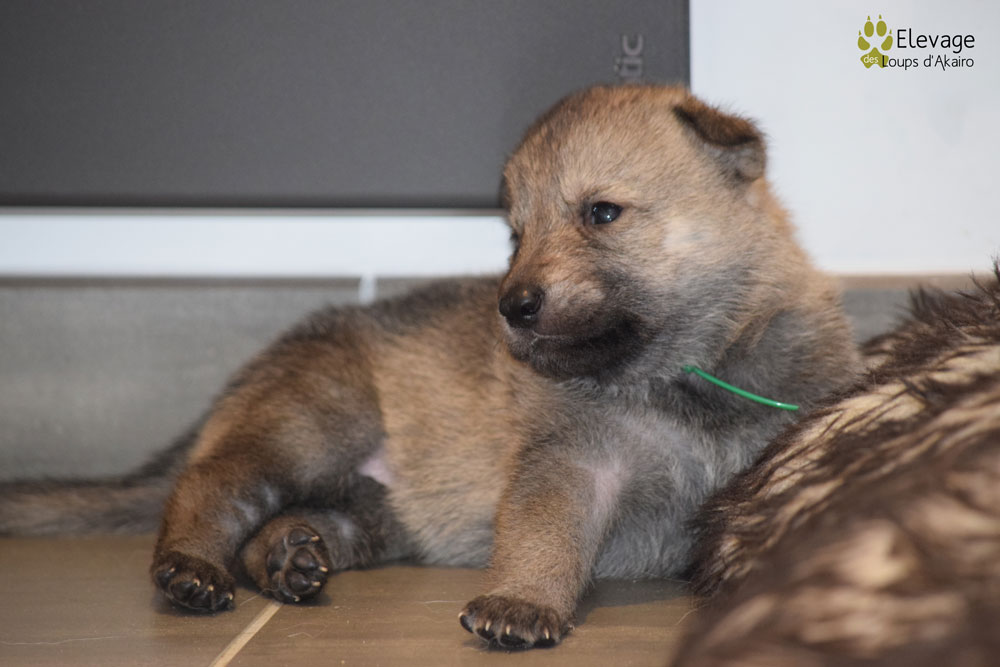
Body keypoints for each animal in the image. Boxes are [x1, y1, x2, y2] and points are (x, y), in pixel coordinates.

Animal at [0, 85, 860, 649]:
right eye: (515, 233)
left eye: (601, 213)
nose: (513, 305)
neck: (681, 370)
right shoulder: (576, 463)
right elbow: (545, 537)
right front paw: (520, 601)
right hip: (307, 428)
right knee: (210, 488)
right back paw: (188, 567)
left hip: (373, 504)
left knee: (290, 521)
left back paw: (288, 557)